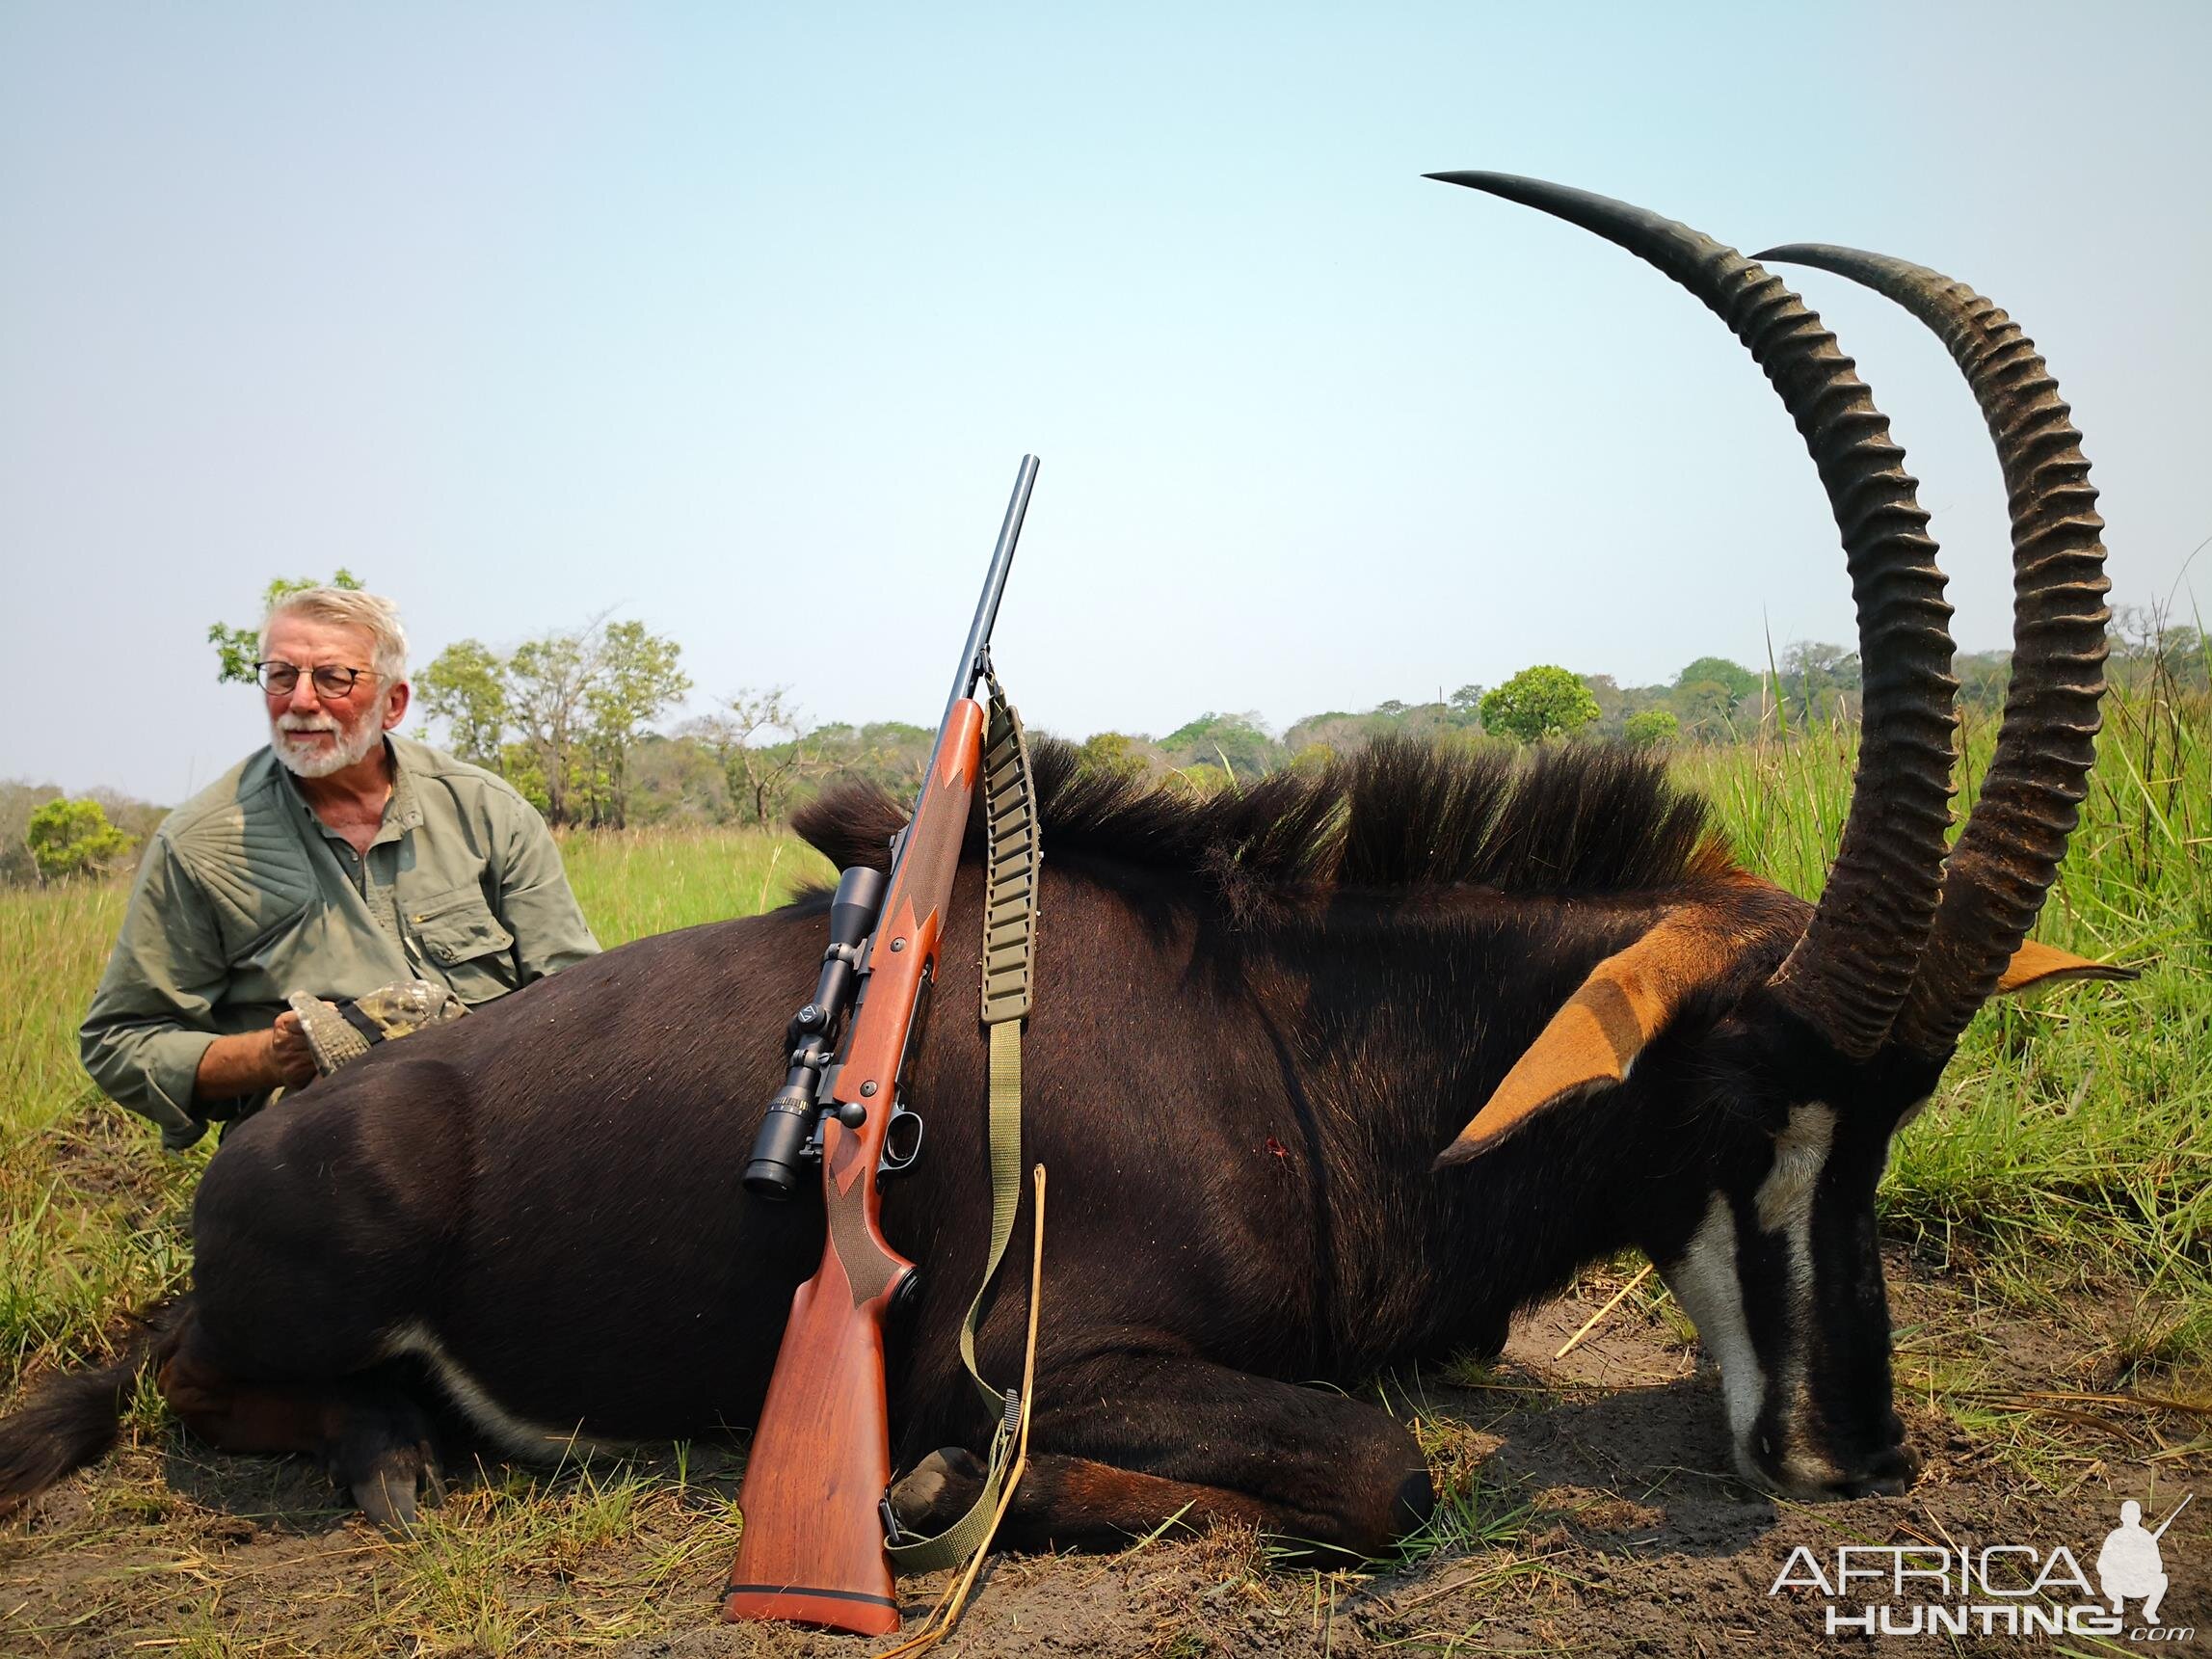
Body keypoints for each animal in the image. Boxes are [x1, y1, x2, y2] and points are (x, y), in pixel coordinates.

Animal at [0, 175, 2123, 1565]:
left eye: (1897, 1115)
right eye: (1741, 1102)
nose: (1854, 1458)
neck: (1279, 1038)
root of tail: (287, 1126)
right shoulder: (1046, 1350)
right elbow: (1377, 1469)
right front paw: (949, 1494)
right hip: (288, 1288)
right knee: (183, 1370)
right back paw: (386, 1455)